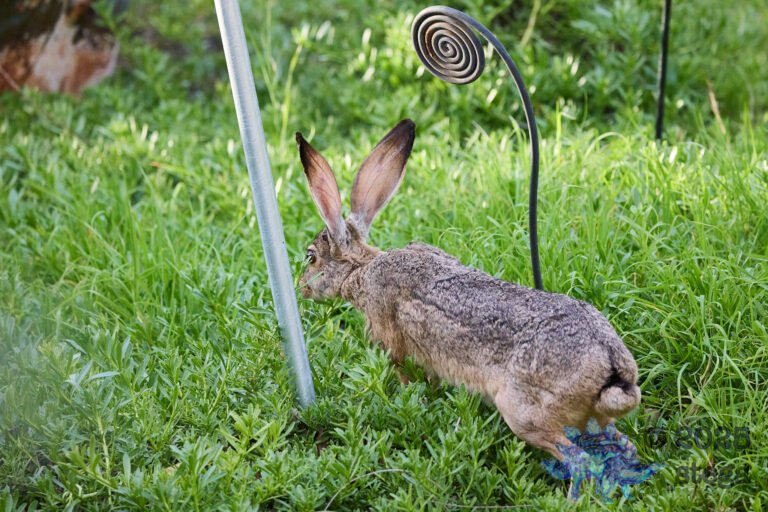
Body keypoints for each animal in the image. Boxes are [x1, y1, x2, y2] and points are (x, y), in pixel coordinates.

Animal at [295, 119, 641, 460]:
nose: (300, 289)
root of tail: (610, 369)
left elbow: (405, 374)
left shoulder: (392, 340)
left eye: (311, 257)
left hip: (524, 413)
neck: (362, 268)